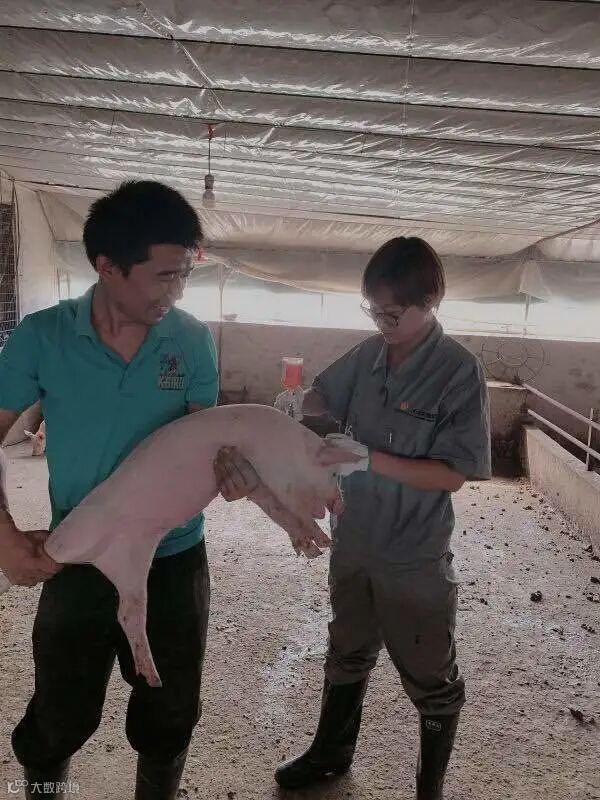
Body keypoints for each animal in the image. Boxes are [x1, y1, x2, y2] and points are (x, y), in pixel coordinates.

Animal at [0, 405, 358, 688]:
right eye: (333, 475)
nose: (340, 506)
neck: (292, 448)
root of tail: (97, 558)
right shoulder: (277, 473)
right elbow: (290, 509)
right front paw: (320, 543)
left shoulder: (263, 483)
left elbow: (276, 509)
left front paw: (313, 548)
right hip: (79, 537)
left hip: (134, 560)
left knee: (127, 613)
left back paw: (153, 677)